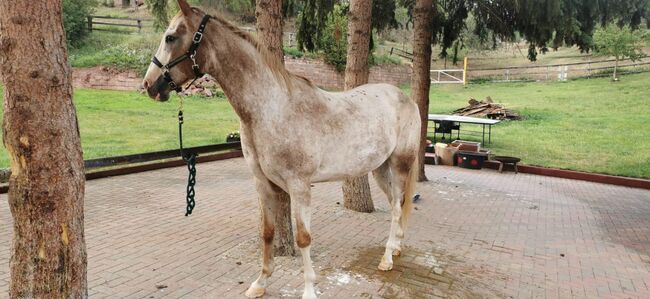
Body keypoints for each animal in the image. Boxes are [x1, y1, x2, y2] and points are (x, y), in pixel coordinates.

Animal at [143, 1, 420, 298]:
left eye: (171, 37)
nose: (149, 85)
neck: (272, 108)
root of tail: (407, 98)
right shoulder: (263, 184)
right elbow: (267, 233)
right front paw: (260, 283)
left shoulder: (299, 186)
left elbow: (303, 238)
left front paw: (309, 289)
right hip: (380, 169)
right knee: (395, 205)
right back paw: (396, 249)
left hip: (400, 165)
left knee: (397, 208)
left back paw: (387, 259)